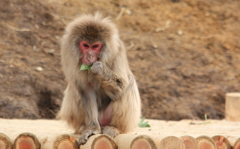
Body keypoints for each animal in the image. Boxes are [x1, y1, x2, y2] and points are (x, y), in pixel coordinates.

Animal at [57, 12, 142, 144]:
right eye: (86, 45)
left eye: (95, 46)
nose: (89, 56)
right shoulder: (67, 52)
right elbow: (85, 90)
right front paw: (92, 129)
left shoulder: (117, 50)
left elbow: (122, 86)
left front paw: (100, 69)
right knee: (75, 89)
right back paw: (84, 127)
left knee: (130, 84)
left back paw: (114, 127)